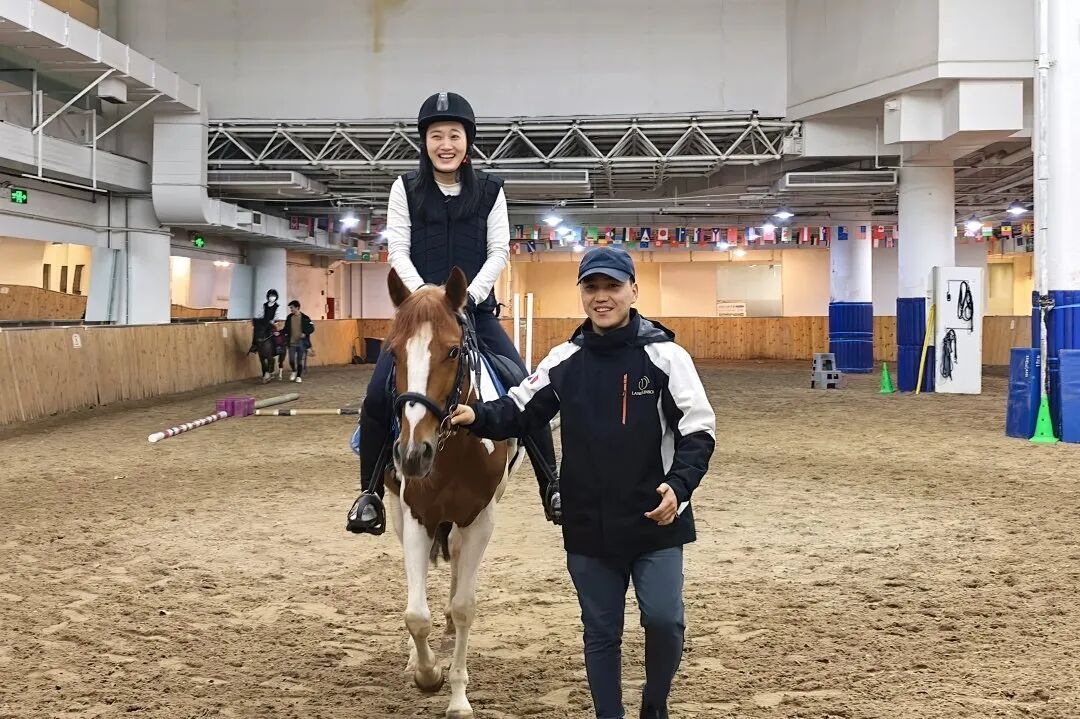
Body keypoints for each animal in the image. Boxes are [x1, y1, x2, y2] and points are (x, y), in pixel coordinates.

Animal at [380, 266, 524, 718]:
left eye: (453, 352)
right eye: (394, 354)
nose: (413, 454)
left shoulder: (480, 519)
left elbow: (464, 607)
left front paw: (458, 697)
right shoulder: (416, 515)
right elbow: (415, 614)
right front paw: (427, 674)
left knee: (458, 563)